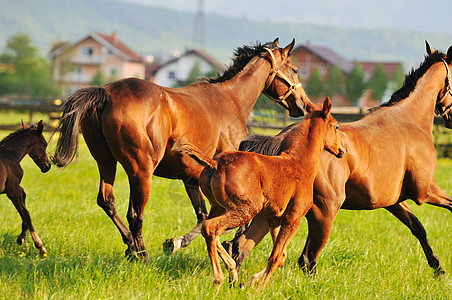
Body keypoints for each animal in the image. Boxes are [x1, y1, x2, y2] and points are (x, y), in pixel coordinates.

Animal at [0, 120, 51, 256]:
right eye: (45, 144)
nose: (48, 166)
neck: (9, 157)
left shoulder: (14, 187)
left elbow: (24, 198)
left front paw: (21, 237)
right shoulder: (12, 190)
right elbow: (25, 214)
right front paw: (40, 246)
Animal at [50, 38, 310, 260]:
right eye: (296, 69)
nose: (303, 105)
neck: (230, 100)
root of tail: (106, 93)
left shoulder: (191, 178)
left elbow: (203, 216)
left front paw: (179, 242)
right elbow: (222, 221)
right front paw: (191, 243)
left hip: (106, 162)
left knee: (107, 201)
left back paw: (130, 246)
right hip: (141, 171)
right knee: (135, 214)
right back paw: (142, 256)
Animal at [178, 98, 348, 288]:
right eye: (336, 126)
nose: (344, 148)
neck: (300, 164)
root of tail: (215, 163)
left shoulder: (273, 219)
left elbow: (282, 257)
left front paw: (251, 281)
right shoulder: (292, 220)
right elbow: (275, 257)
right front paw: (259, 288)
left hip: (219, 207)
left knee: (207, 229)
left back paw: (233, 272)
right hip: (245, 210)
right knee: (211, 228)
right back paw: (219, 278)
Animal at [228, 41, 452, 276]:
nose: (451, 118)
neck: (410, 119)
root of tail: (281, 140)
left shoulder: (394, 201)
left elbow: (417, 226)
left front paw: (437, 267)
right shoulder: (424, 191)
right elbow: (449, 206)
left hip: (275, 211)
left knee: (241, 245)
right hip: (325, 211)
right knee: (307, 258)